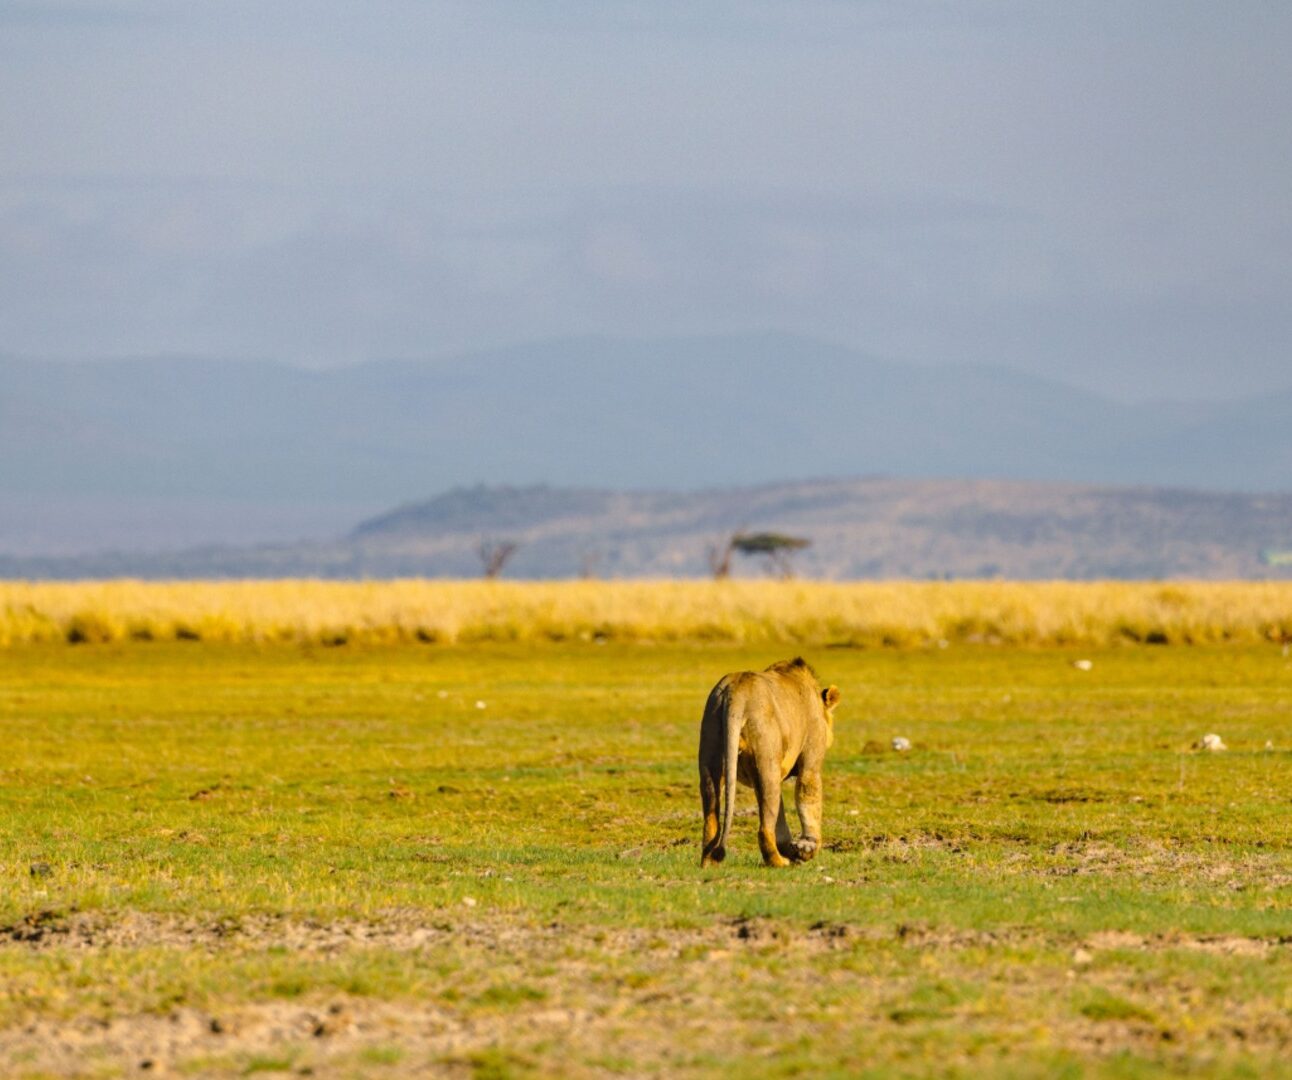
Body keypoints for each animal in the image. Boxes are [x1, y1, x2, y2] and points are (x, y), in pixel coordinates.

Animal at [697, 658, 837, 868]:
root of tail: (736, 690)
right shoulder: (811, 757)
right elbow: (808, 793)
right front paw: (806, 848)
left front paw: (793, 849)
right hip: (766, 758)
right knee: (764, 828)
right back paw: (779, 862)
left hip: (711, 745)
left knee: (711, 819)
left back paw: (708, 863)